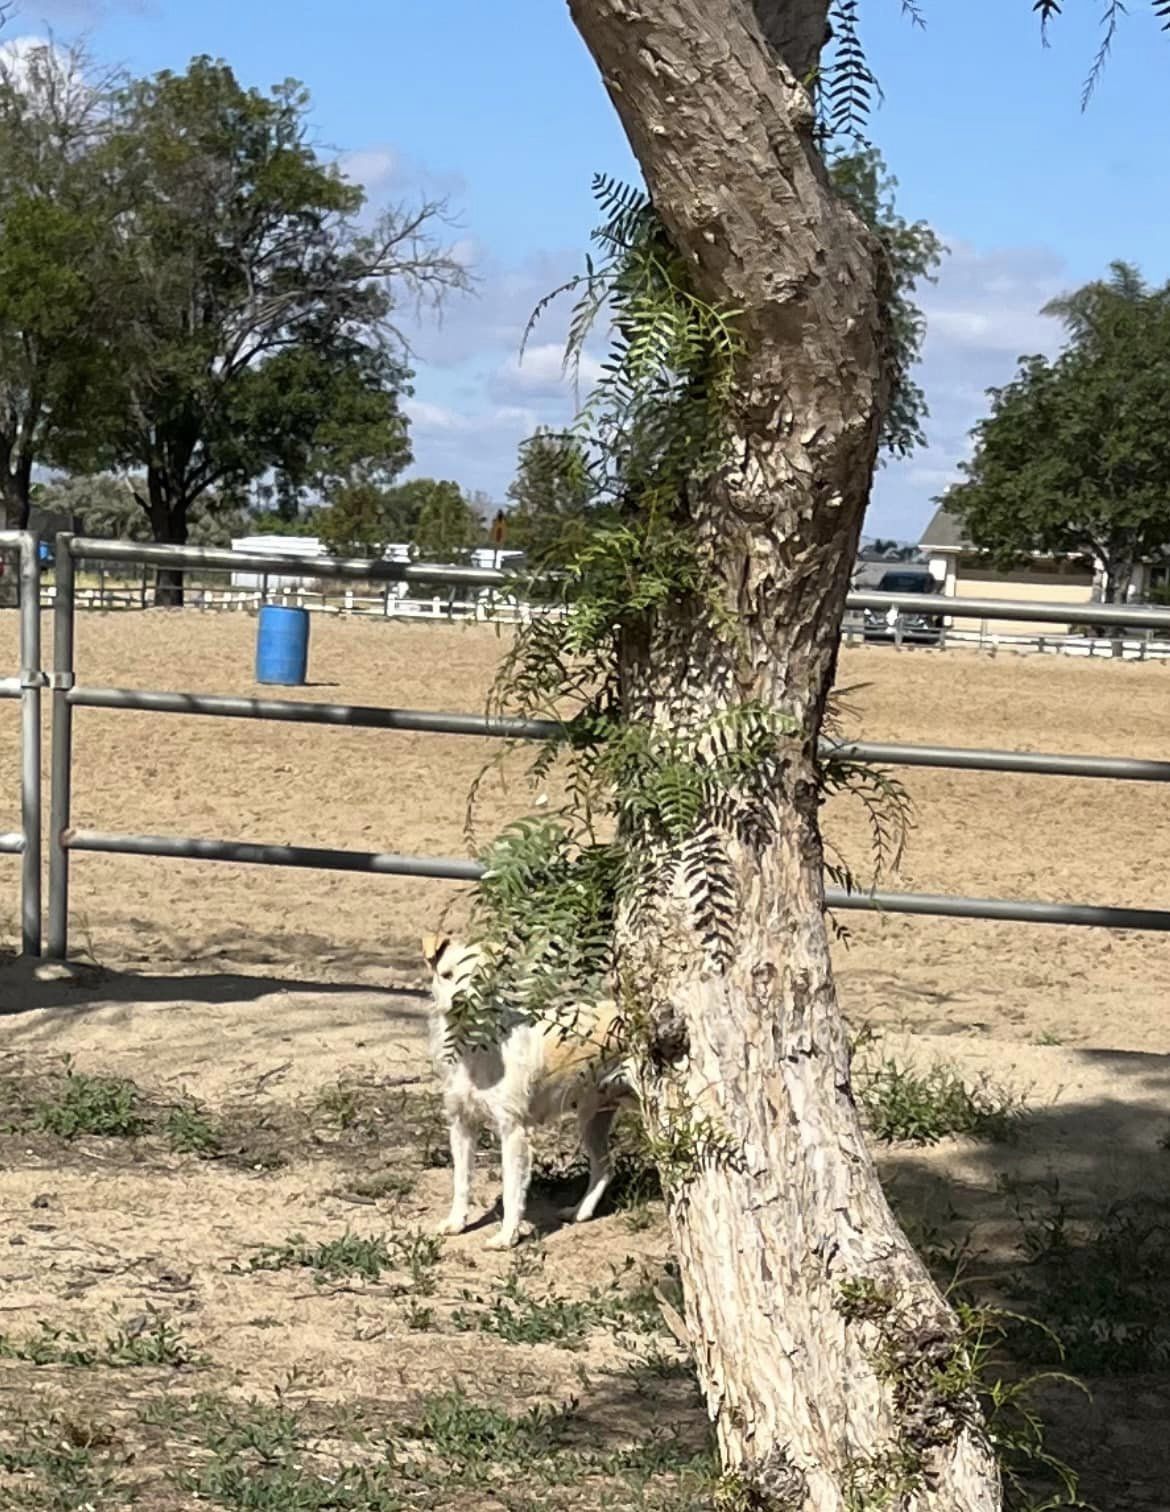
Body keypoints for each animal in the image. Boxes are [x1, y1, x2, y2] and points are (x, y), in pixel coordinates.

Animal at [420, 931, 637, 1251]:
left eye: (479, 981)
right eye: (446, 975)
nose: (460, 1002)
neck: (472, 1047)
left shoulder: (514, 1131)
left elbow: (512, 1190)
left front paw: (506, 1237)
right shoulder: (461, 1125)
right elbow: (461, 1181)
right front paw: (456, 1222)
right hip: (592, 1118)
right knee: (604, 1166)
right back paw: (580, 1212)